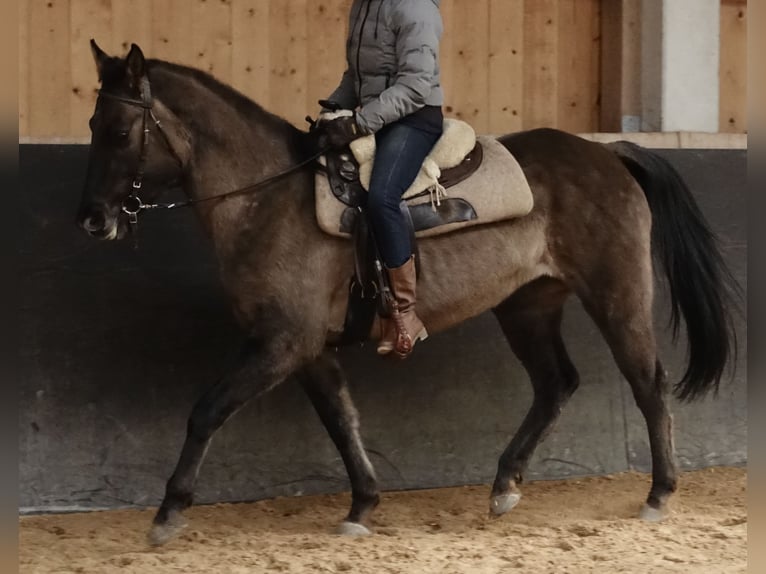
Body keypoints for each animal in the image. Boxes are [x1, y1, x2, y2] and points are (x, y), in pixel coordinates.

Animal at [76, 42, 736, 548]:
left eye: (119, 130)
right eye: (90, 127)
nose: (93, 220)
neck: (268, 199)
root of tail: (605, 152)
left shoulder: (282, 343)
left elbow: (207, 410)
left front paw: (168, 514)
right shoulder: (308, 349)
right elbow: (342, 420)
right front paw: (363, 505)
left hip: (616, 293)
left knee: (647, 382)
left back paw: (658, 494)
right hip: (528, 305)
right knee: (556, 384)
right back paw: (505, 486)